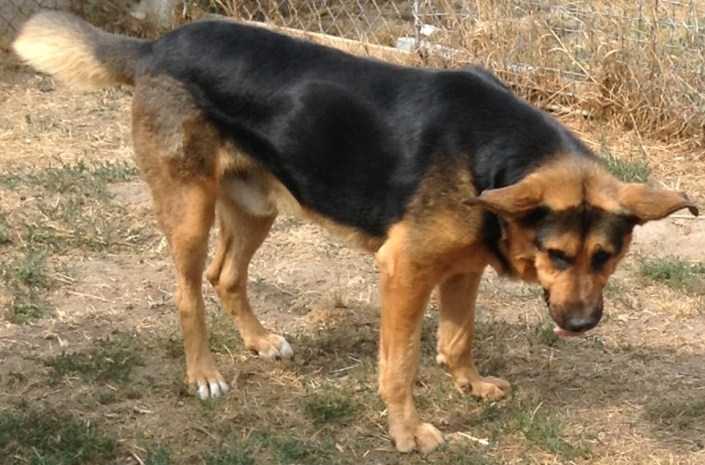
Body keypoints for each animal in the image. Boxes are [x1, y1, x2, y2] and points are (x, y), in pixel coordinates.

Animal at [13, 11, 698, 453]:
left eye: (606, 257)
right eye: (555, 254)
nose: (582, 325)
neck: (493, 154)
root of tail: (156, 46)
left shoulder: (463, 269)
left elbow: (457, 340)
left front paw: (471, 385)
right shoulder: (405, 272)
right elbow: (401, 364)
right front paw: (408, 433)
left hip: (257, 207)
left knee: (224, 274)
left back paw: (259, 341)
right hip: (189, 211)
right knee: (187, 290)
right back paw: (204, 373)